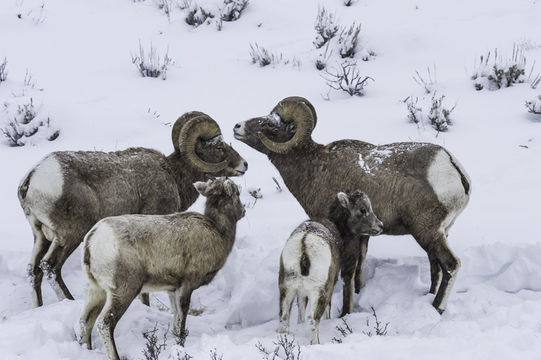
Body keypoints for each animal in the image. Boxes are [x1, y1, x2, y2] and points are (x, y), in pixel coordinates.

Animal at [18, 112, 247, 306]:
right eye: (219, 147)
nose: (244, 165)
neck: (173, 175)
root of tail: (33, 178)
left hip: (41, 236)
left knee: (34, 271)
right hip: (70, 235)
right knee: (50, 268)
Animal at [79, 178, 245, 360]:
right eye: (237, 193)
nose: (243, 210)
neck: (218, 232)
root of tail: (91, 240)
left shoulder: (172, 288)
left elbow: (175, 319)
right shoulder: (187, 284)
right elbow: (181, 320)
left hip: (97, 289)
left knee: (85, 321)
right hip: (123, 289)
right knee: (105, 323)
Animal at [234, 97, 470, 314]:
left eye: (270, 125)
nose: (237, 127)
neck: (313, 167)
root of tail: (453, 168)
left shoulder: (348, 235)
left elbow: (347, 273)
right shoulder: (364, 235)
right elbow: (359, 269)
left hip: (427, 231)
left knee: (451, 265)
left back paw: (437, 307)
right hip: (439, 233)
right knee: (435, 267)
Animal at [276, 188, 382, 344]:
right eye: (363, 209)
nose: (380, 226)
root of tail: (304, 245)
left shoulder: (301, 291)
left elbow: (301, 309)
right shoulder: (331, 284)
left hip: (286, 288)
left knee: (283, 319)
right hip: (320, 291)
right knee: (313, 319)